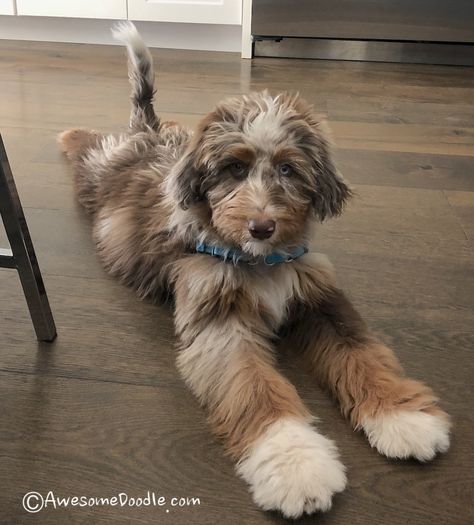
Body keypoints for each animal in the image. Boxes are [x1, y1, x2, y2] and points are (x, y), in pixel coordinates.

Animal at [57, 22, 450, 516]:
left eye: (287, 169)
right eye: (234, 169)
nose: (262, 226)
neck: (259, 261)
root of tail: (145, 133)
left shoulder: (319, 296)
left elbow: (363, 354)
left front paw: (403, 415)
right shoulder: (219, 318)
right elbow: (256, 387)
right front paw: (296, 465)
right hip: (98, 171)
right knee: (91, 145)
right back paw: (68, 133)